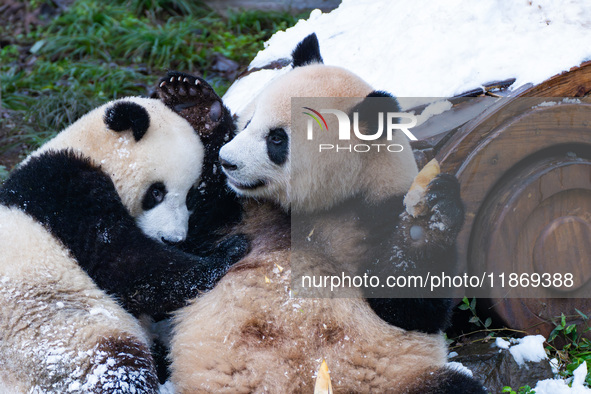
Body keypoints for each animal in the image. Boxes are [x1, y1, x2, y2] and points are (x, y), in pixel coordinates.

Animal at [0, 97, 246, 392]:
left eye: (190, 197)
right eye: (156, 192)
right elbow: (122, 264)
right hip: (54, 337)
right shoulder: (63, 192)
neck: (89, 150)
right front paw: (226, 253)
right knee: (115, 365)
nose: (172, 239)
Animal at [166, 34, 486, 394]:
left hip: (400, 379)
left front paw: (429, 218)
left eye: (277, 139)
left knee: (456, 385)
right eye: (248, 122)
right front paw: (193, 105)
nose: (227, 162)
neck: (316, 209)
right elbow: (191, 237)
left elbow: (411, 307)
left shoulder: (377, 214)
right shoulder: (242, 216)